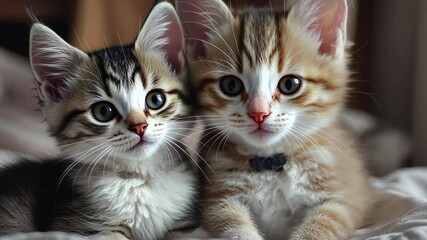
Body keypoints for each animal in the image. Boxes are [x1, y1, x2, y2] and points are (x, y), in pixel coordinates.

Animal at [0, 2, 197, 240]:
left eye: (155, 99)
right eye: (103, 111)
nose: (139, 126)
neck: (139, 177)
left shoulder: (185, 223)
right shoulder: (81, 225)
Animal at [177, 0, 374, 240]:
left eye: (290, 84)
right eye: (230, 85)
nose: (258, 113)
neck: (270, 161)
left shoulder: (342, 199)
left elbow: (321, 226)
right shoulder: (218, 199)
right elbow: (232, 224)